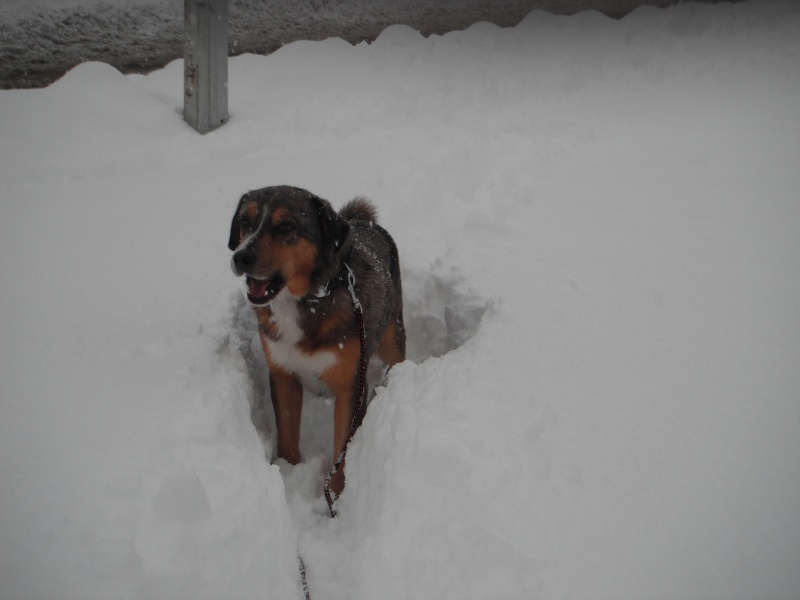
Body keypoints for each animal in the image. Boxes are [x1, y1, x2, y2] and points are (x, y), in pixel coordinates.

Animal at [230, 185, 406, 494]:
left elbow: (342, 453)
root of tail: (362, 222)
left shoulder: (351, 387)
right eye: (245, 222)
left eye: (286, 226)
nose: (240, 257)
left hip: (391, 336)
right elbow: (287, 436)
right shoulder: (283, 374)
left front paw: (336, 496)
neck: (307, 299)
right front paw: (288, 472)